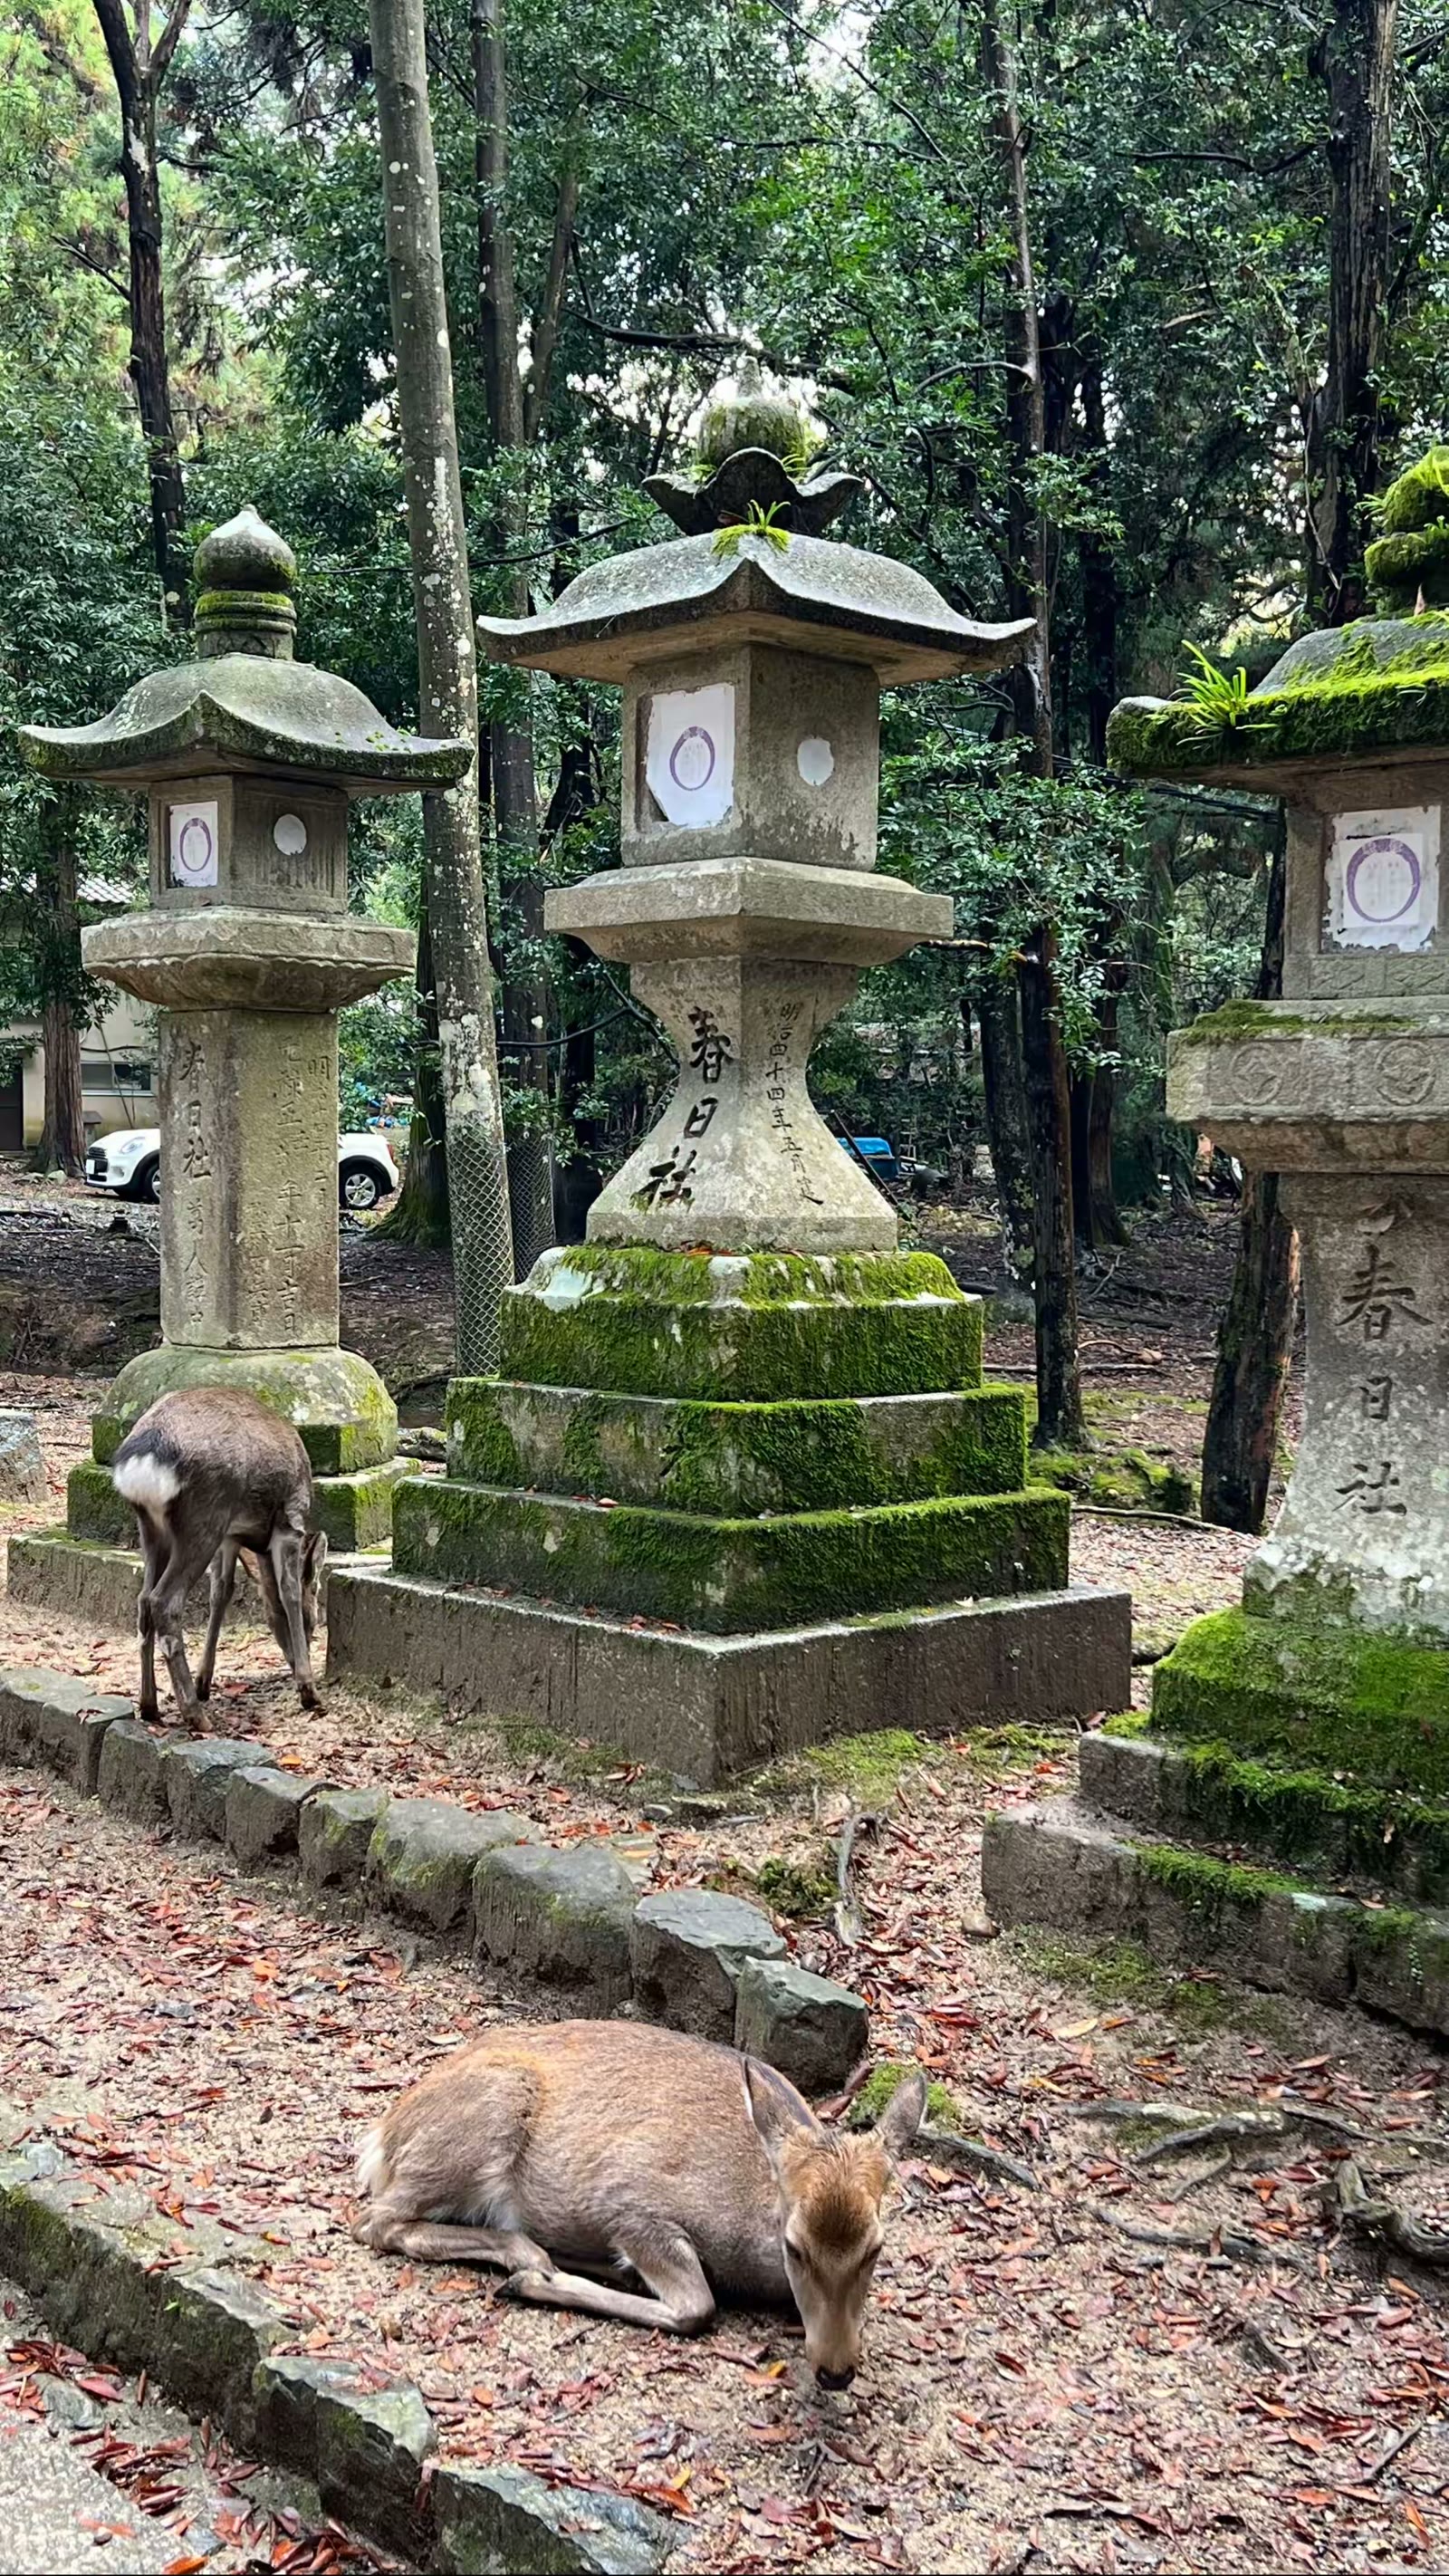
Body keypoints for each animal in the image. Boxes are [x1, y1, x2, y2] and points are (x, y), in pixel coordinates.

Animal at [110, 1386, 327, 1727]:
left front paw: (204, 1681)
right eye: (314, 1617)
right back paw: (194, 1714)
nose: (294, 1663)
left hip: (153, 1527)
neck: (258, 1544)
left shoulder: (230, 1538)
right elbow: (288, 1593)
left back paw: (150, 1706)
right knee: (164, 1601)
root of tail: (144, 1460)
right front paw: (308, 1690)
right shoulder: (290, 1520)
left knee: (144, 1600)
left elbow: (221, 1592)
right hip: (204, 1518)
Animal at [353, 2019, 926, 2390]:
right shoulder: (630, 2204)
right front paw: (534, 2282)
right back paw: (530, 2260)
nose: (836, 2371)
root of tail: (380, 2138)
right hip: (484, 2119)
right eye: (795, 2246)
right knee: (377, 2222)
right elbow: (698, 2307)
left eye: (876, 2248)